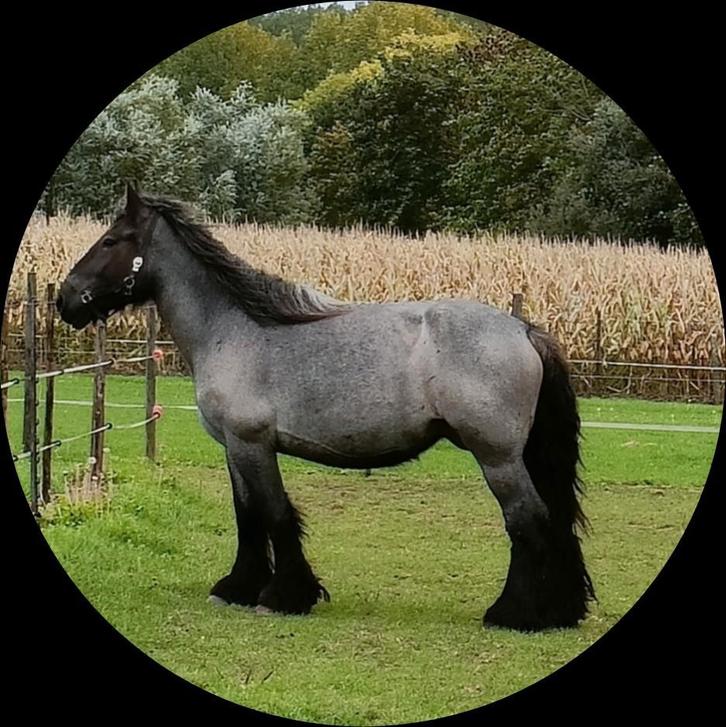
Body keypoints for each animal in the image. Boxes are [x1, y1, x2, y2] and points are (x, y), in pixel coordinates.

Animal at [56, 185, 595, 632]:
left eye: (111, 240)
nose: (65, 298)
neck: (234, 331)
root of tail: (522, 329)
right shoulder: (233, 448)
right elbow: (247, 515)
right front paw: (237, 588)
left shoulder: (253, 444)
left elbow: (274, 514)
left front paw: (283, 596)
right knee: (551, 520)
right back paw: (561, 611)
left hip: (497, 458)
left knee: (527, 521)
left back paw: (514, 614)